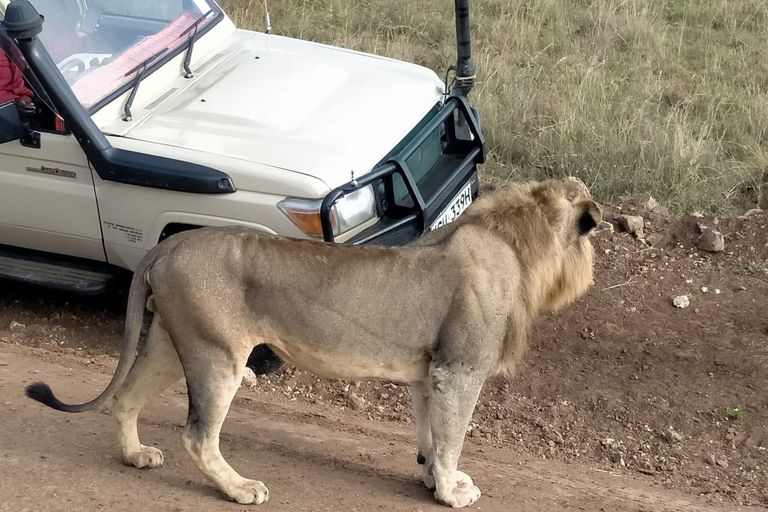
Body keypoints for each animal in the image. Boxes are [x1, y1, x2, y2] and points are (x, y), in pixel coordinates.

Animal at [24, 177, 600, 508]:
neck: (514, 243)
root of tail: (173, 243)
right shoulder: (460, 368)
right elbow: (454, 435)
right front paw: (452, 492)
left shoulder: (430, 370)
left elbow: (432, 434)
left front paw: (431, 478)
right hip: (218, 355)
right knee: (198, 436)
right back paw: (240, 489)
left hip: (171, 341)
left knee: (124, 399)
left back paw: (136, 456)